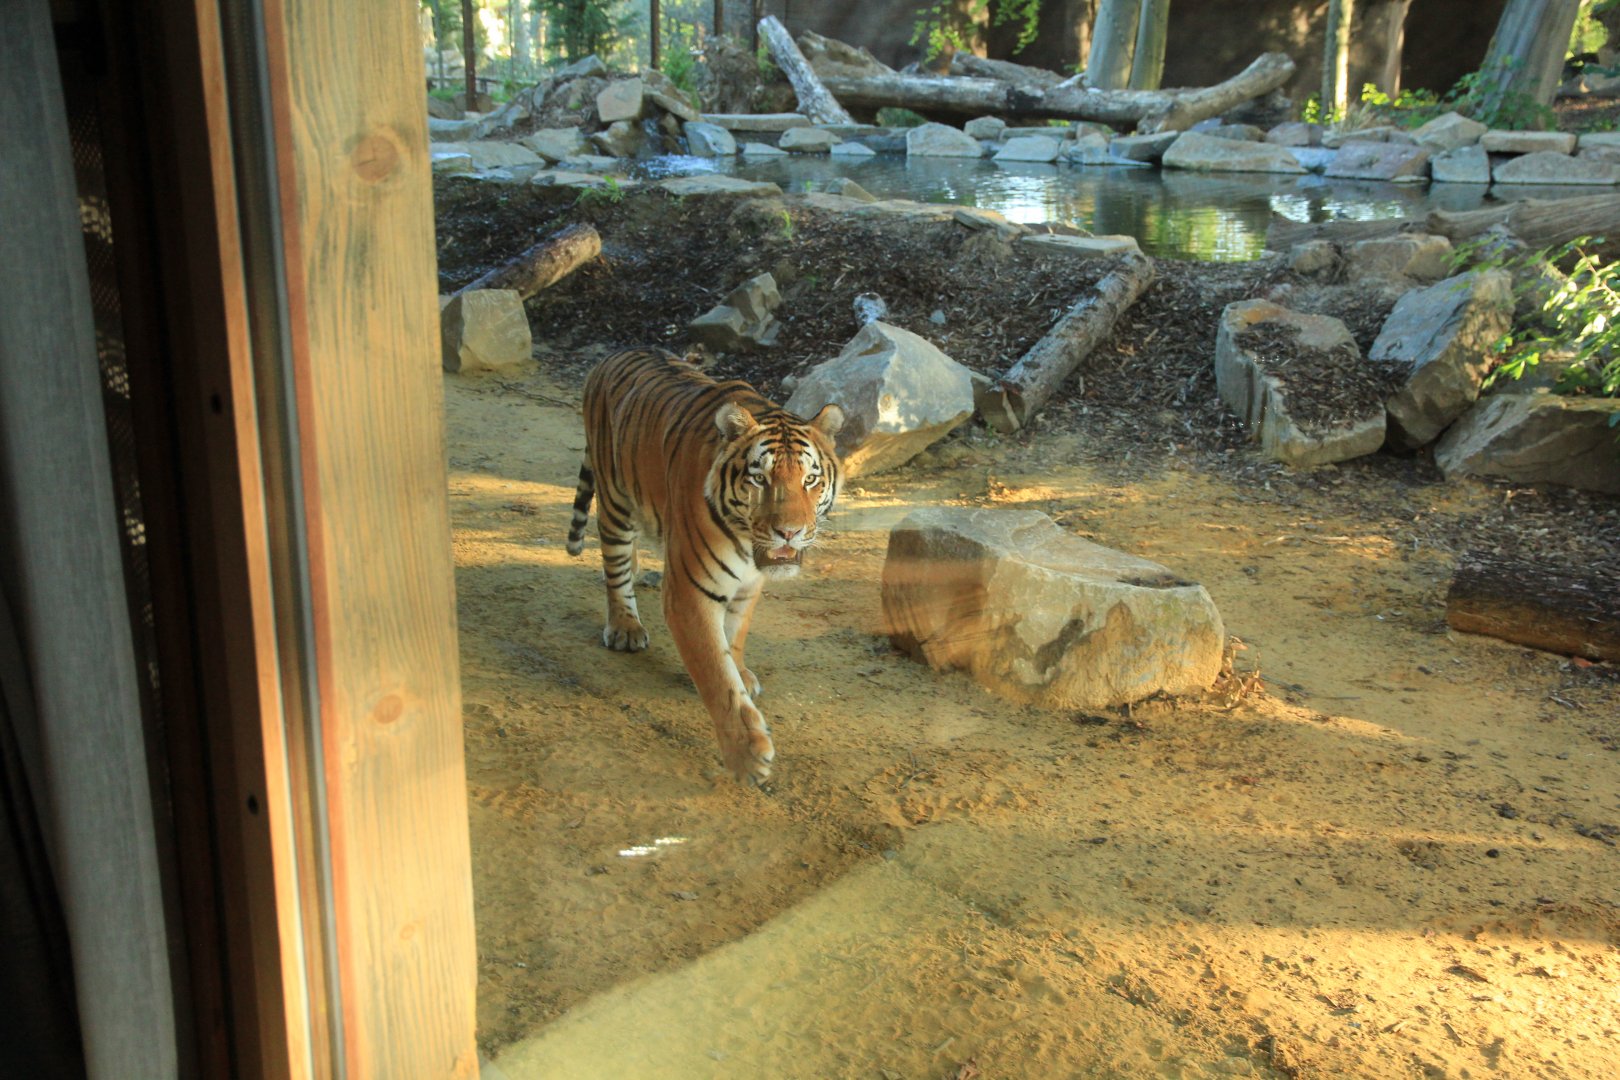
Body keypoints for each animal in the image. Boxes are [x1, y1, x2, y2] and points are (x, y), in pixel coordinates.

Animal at [565, 348, 844, 784]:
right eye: (760, 479)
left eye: (810, 479)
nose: (789, 532)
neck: (748, 544)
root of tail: (612, 355)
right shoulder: (688, 591)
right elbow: (715, 672)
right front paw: (747, 756)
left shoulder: (749, 584)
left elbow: (735, 635)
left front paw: (741, 671)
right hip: (615, 501)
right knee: (615, 566)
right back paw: (625, 627)